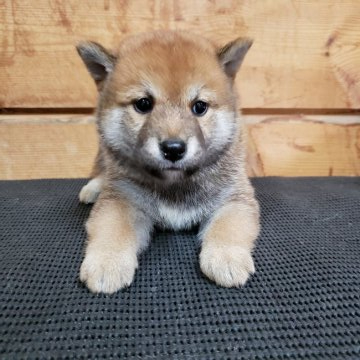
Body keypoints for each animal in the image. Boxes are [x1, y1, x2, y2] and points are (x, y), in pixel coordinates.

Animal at [76, 31, 258, 294]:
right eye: (143, 104)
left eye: (199, 107)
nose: (173, 149)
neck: (174, 184)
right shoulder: (122, 199)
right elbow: (113, 228)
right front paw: (107, 262)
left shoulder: (234, 198)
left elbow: (229, 226)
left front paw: (227, 257)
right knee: (102, 169)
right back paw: (93, 187)